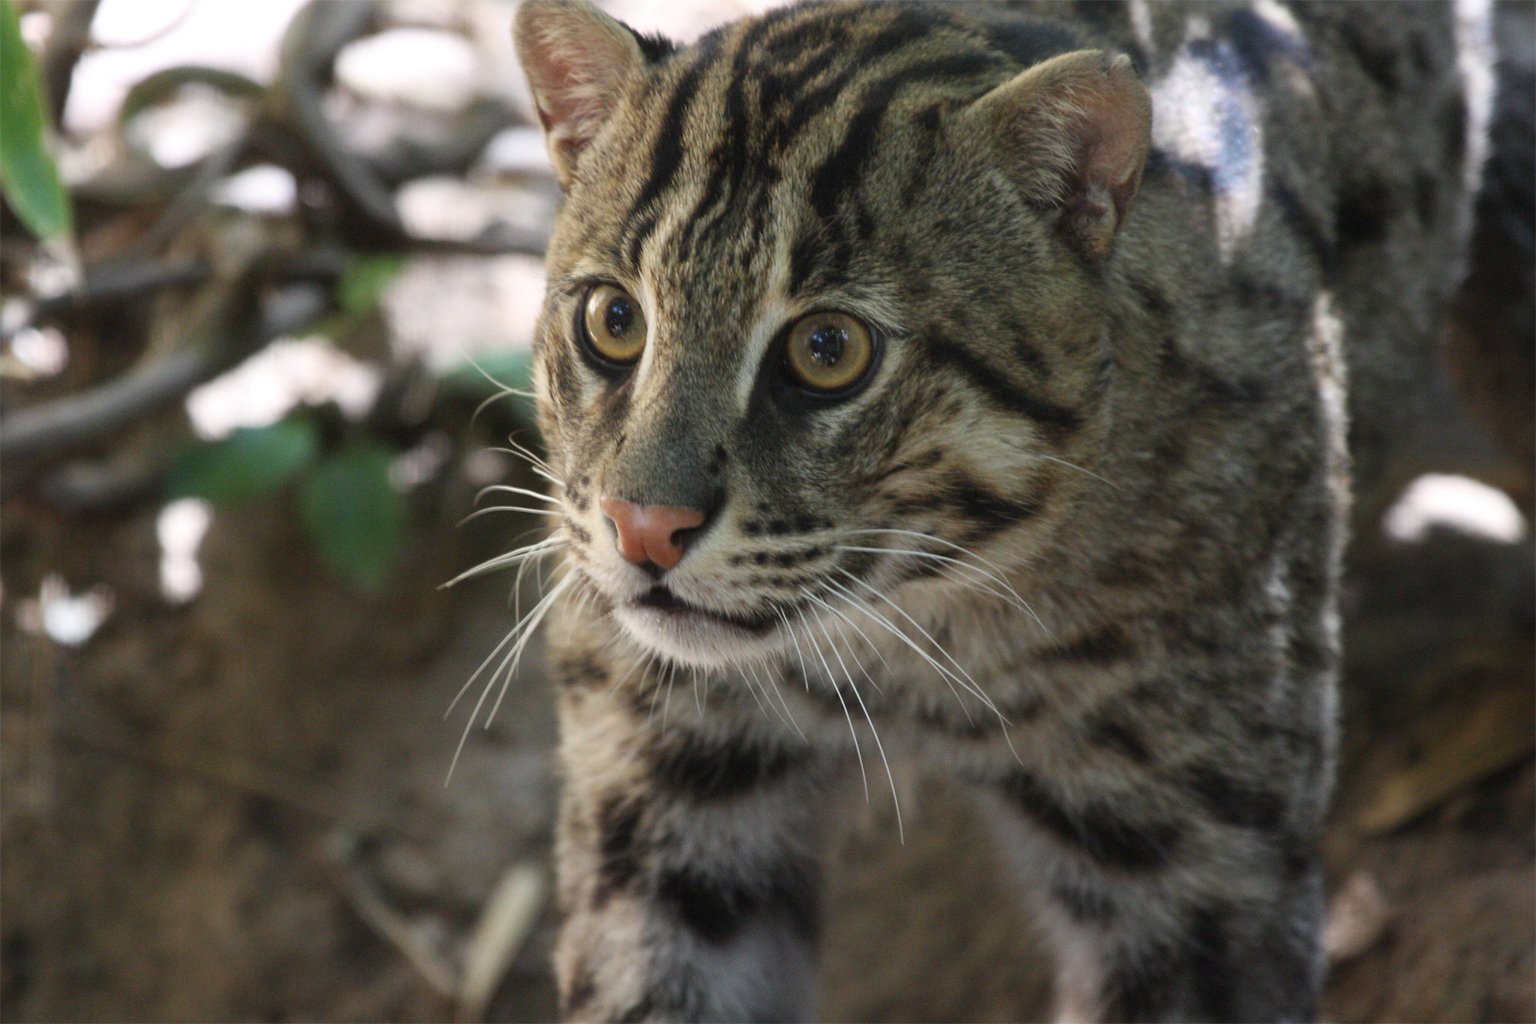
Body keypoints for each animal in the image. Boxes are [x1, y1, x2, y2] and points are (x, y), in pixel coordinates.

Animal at [506, 4, 1499, 1019]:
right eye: (613, 321)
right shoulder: (664, 792)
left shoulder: (1198, 859)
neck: (911, 626)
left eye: (829, 349)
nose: (642, 527)